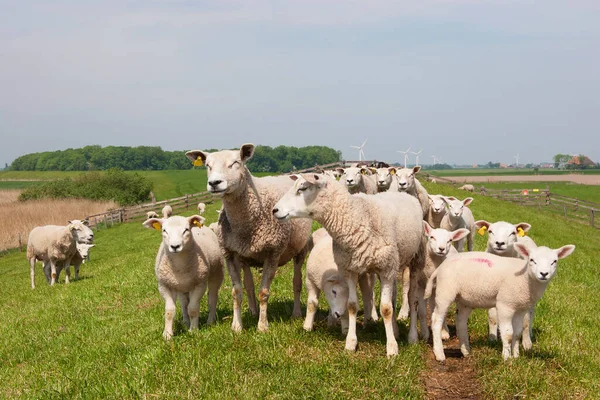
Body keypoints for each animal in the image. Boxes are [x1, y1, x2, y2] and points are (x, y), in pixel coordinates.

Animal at [185, 144, 312, 332]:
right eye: (207, 165)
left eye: (235, 162)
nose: (214, 183)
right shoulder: (230, 254)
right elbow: (237, 291)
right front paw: (237, 326)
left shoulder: (273, 253)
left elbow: (263, 292)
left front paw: (262, 326)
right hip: (245, 257)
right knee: (249, 285)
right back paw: (253, 311)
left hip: (300, 250)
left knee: (296, 282)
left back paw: (296, 313)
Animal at [274, 173, 424, 358]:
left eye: (302, 188)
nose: (274, 210)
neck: (357, 217)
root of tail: (402, 194)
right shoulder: (349, 270)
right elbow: (352, 306)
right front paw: (351, 342)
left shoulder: (386, 269)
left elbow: (386, 309)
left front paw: (391, 348)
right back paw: (393, 329)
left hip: (414, 260)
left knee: (412, 299)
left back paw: (412, 336)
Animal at [426, 242, 576, 360]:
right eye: (532, 260)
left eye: (554, 261)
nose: (544, 274)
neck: (525, 279)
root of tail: (441, 267)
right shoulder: (505, 304)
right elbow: (508, 333)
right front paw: (506, 358)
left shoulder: (520, 308)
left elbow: (517, 333)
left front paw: (516, 356)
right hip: (445, 291)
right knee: (436, 320)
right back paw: (439, 353)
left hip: (465, 299)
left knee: (461, 320)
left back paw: (466, 350)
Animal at [476, 220, 536, 348]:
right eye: (490, 231)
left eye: (512, 233)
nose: (499, 243)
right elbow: (492, 317)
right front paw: (492, 338)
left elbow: (526, 321)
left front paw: (527, 344)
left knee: (531, 314)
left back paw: (530, 334)